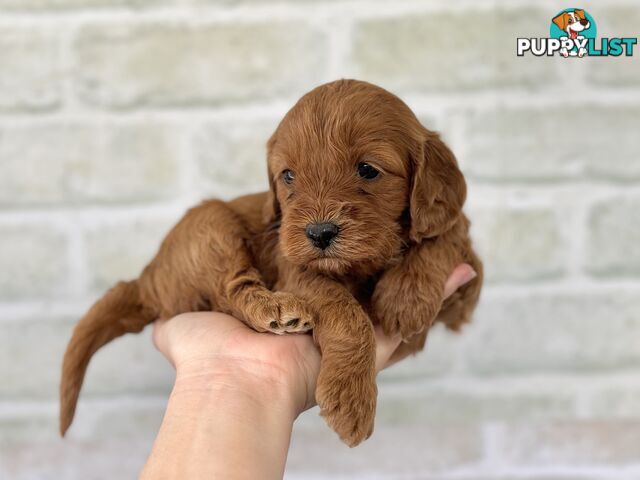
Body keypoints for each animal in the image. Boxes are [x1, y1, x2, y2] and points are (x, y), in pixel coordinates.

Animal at [60, 79, 482, 446]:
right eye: (288, 175)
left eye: (368, 169)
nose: (319, 234)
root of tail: (147, 276)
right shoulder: (293, 267)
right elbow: (346, 312)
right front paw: (351, 401)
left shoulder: (465, 283)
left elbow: (446, 238)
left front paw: (405, 297)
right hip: (211, 228)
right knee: (232, 291)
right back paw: (277, 311)